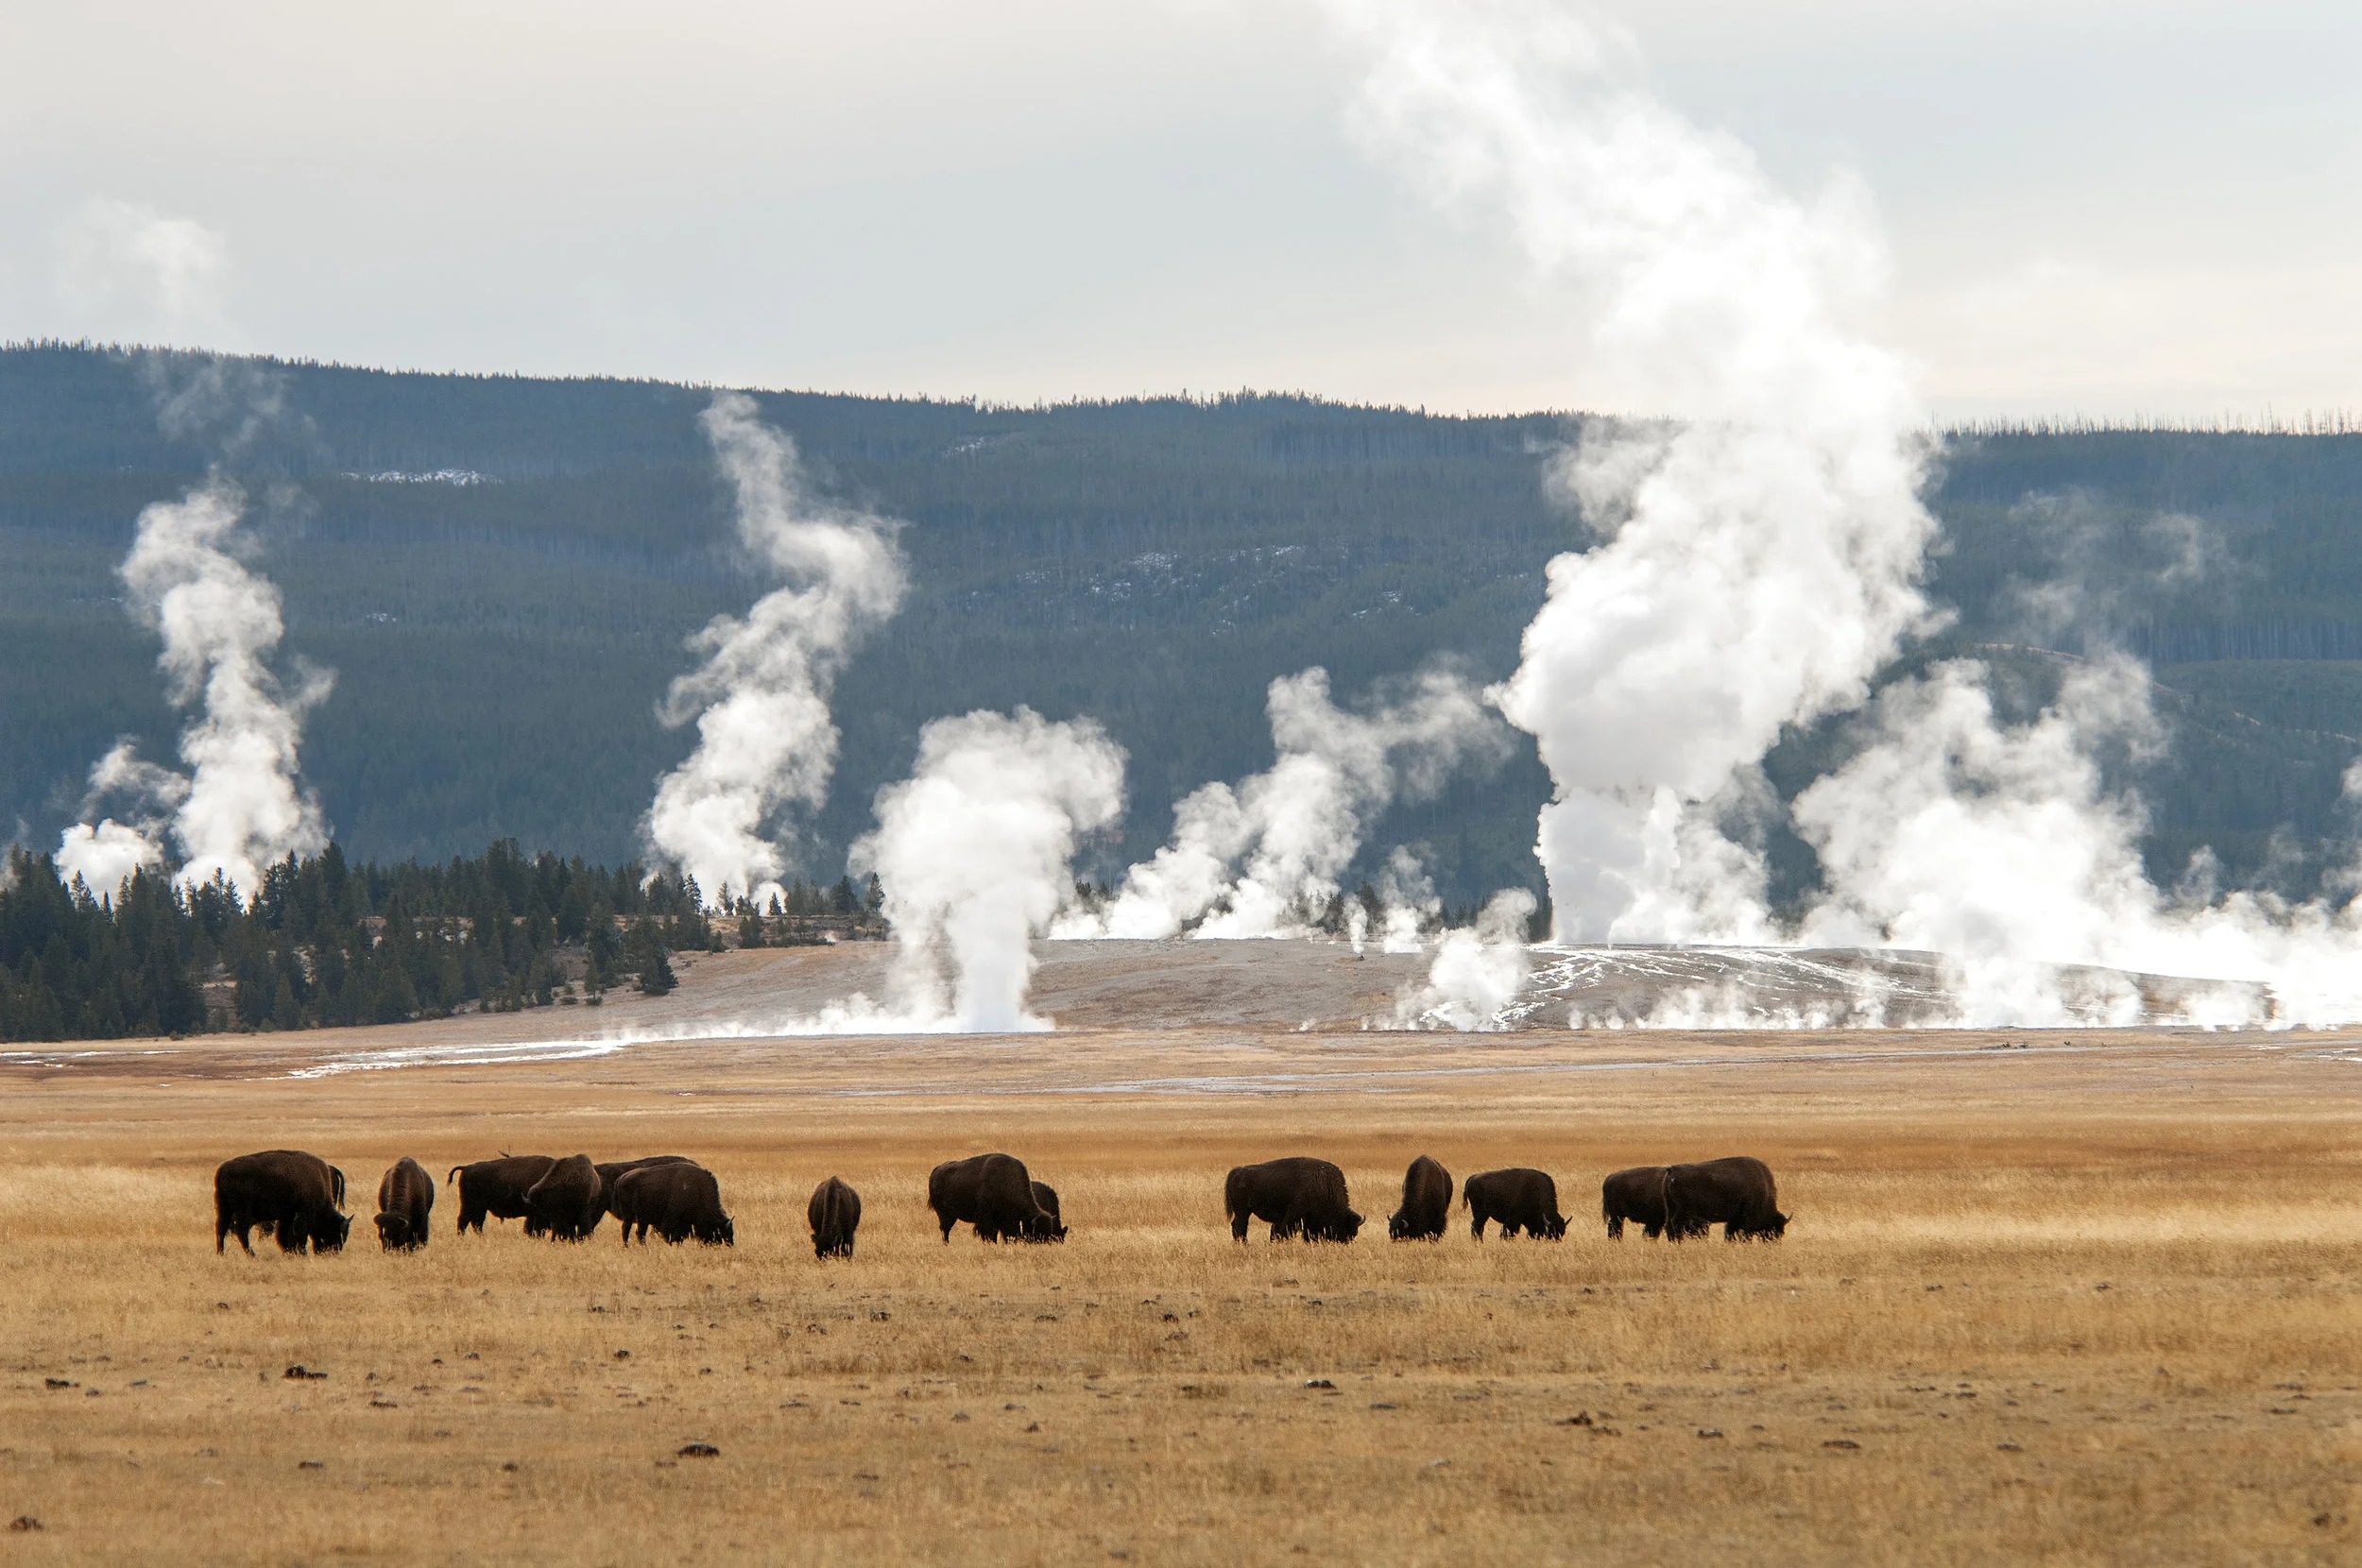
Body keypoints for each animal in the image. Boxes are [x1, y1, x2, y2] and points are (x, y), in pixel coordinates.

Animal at [215, 1150, 351, 1256]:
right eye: (334, 1230)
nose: (335, 1250)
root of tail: (223, 1170)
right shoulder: (303, 1212)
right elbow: (299, 1233)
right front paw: (302, 1253)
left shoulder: (288, 1216)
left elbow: (285, 1234)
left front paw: (289, 1252)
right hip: (243, 1211)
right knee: (240, 1230)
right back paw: (252, 1255)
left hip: (224, 1208)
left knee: (221, 1228)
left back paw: (221, 1253)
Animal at [928, 1153, 1059, 1243]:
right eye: (1036, 1231)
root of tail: (936, 1171)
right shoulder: (986, 1219)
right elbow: (988, 1234)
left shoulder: (1008, 1219)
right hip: (945, 1214)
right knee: (945, 1229)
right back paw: (946, 1243)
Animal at [1225, 1157, 1362, 1243]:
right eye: (1346, 1228)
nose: (1344, 1242)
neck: (1322, 1183)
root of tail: (1238, 1171)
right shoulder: (1294, 1214)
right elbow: (1284, 1230)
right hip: (1243, 1211)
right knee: (1240, 1225)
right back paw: (1244, 1243)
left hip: (1243, 1211)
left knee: (1236, 1225)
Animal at [1664, 1156, 1788, 1241]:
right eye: (1775, 1227)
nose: (1774, 1241)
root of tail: (1672, 1170)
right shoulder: (1746, 1219)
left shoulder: (1733, 1219)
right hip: (1683, 1212)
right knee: (1676, 1224)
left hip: (1671, 1208)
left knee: (1668, 1225)